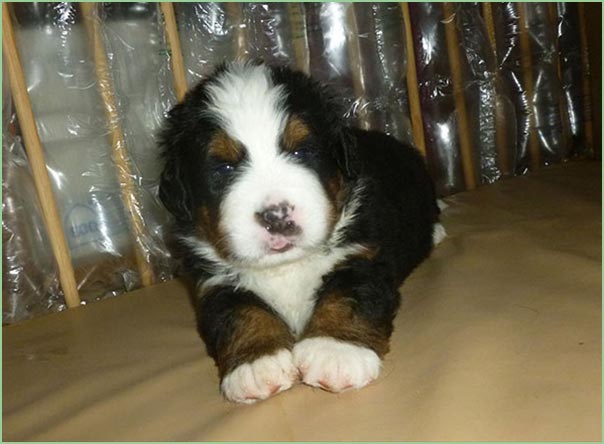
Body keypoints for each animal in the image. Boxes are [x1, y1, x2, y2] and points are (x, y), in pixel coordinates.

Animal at [159, 61, 443, 403]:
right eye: (223, 168)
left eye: (301, 152)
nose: (276, 215)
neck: (286, 266)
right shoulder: (213, 281)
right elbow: (238, 312)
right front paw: (257, 362)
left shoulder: (363, 253)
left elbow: (347, 294)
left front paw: (336, 351)